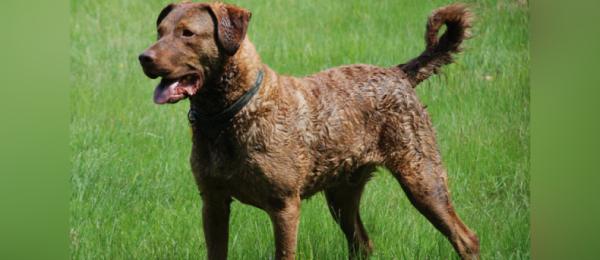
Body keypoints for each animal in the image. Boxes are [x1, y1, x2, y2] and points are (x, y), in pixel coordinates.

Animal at [139, 1, 478, 258]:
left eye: (187, 33)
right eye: (160, 31)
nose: (144, 57)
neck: (230, 115)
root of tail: (398, 74)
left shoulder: (284, 205)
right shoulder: (213, 202)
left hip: (422, 176)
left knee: (466, 238)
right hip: (342, 193)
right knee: (362, 244)